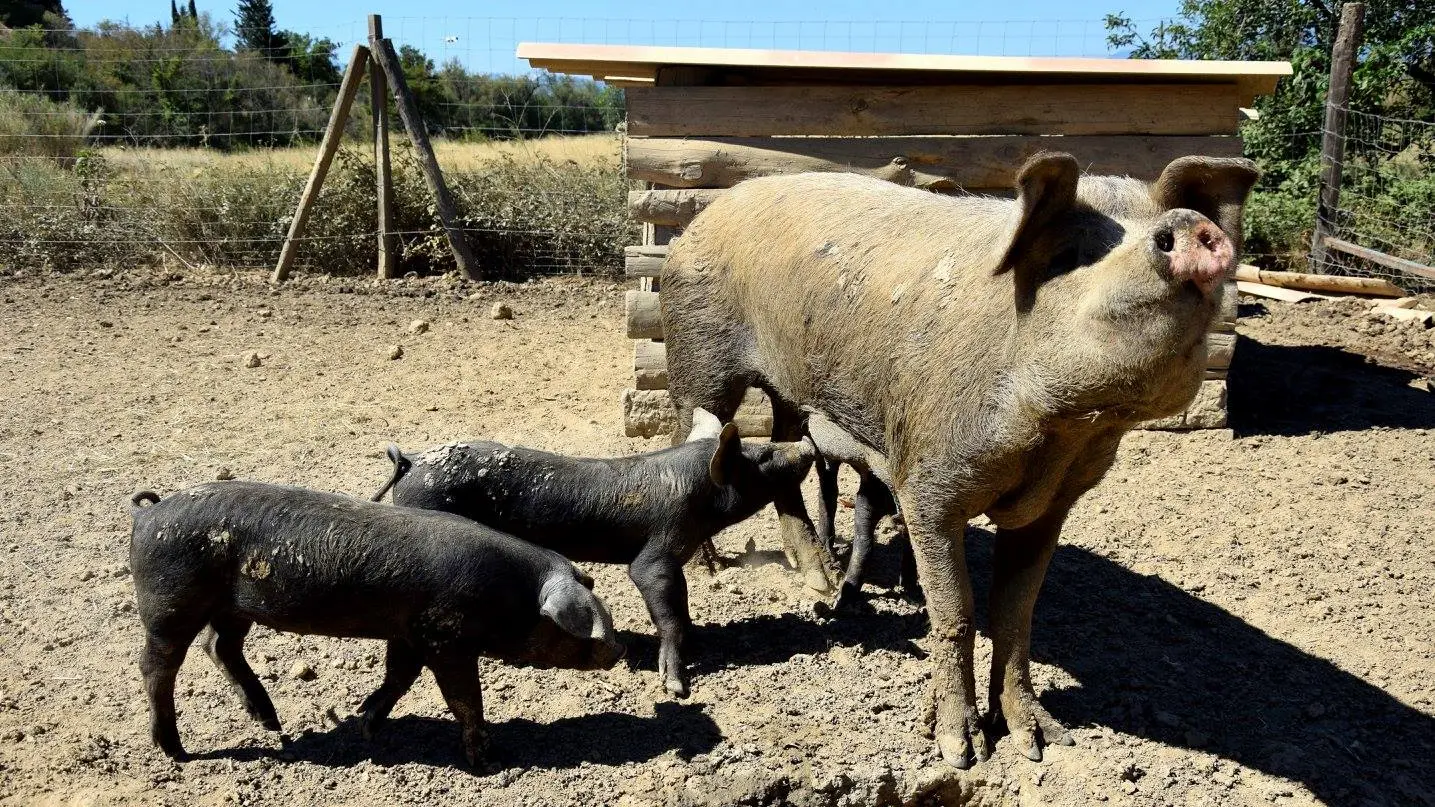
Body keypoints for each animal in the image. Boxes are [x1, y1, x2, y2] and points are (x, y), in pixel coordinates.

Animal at [128, 481, 623, 767]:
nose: (617, 649)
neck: (510, 596)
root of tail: (147, 513)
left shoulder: (410, 633)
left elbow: (398, 677)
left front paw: (365, 724)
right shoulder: (446, 638)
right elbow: (464, 697)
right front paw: (487, 758)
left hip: (233, 608)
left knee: (219, 646)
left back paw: (270, 721)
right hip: (170, 601)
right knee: (157, 665)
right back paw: (176, 751)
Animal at [371, 408, 816, 698]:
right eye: (763, 457)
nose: (807, 445)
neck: (696, 493)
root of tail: (409, 460)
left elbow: (683, 603)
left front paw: (699, 642)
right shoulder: (656, 552)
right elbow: (662, 602)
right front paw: (675, 686)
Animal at [659, 153, 1258, 767]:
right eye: (1068, 255)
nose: (1188, 226)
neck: (1059, 438)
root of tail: (706, 216)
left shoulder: (1052, 505)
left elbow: (1017, 613)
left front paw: (1041, 743)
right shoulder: (928, 483)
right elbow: (957, 612)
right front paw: (961, 751)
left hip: (787, 389)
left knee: (786, 453)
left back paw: (818, 582)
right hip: (696, 348)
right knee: (692, 425)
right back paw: (711, 567)